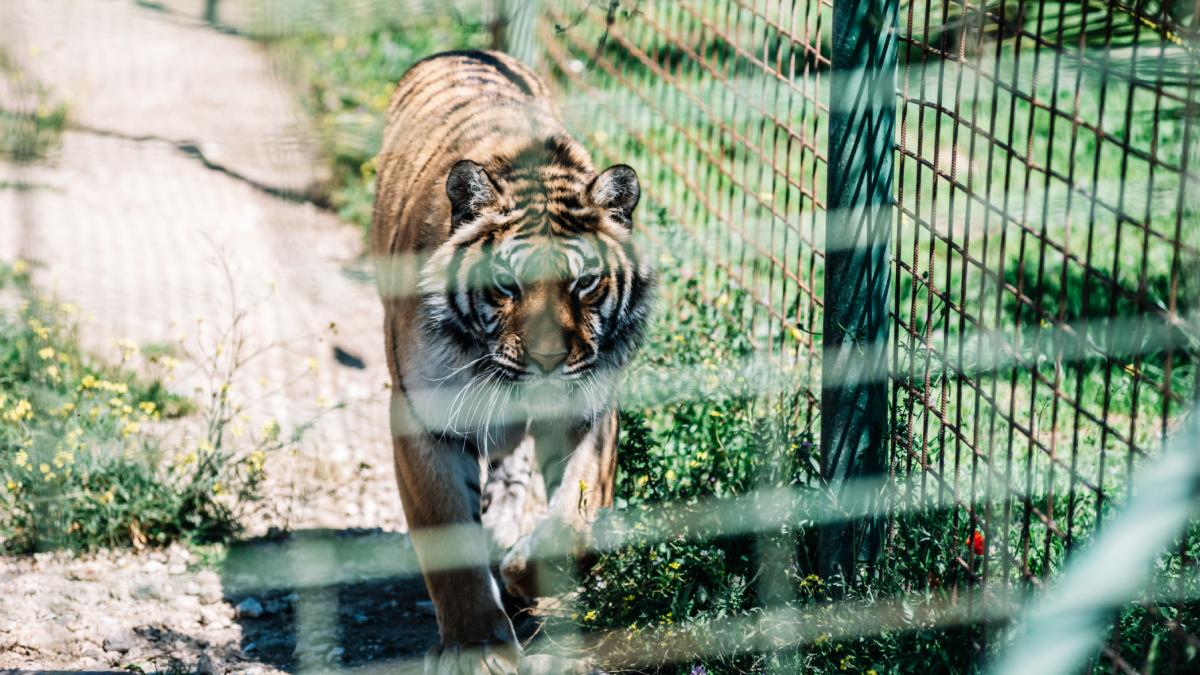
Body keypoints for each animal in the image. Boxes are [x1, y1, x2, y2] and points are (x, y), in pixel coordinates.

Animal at [372, 49, 657, 667]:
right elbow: (449, 541)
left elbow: (575, 524)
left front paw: (527, 572)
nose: (548, 361)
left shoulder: (589, 409)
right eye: (505, 285)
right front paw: (475, 647)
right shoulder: (421, 419)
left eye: (585, 283)